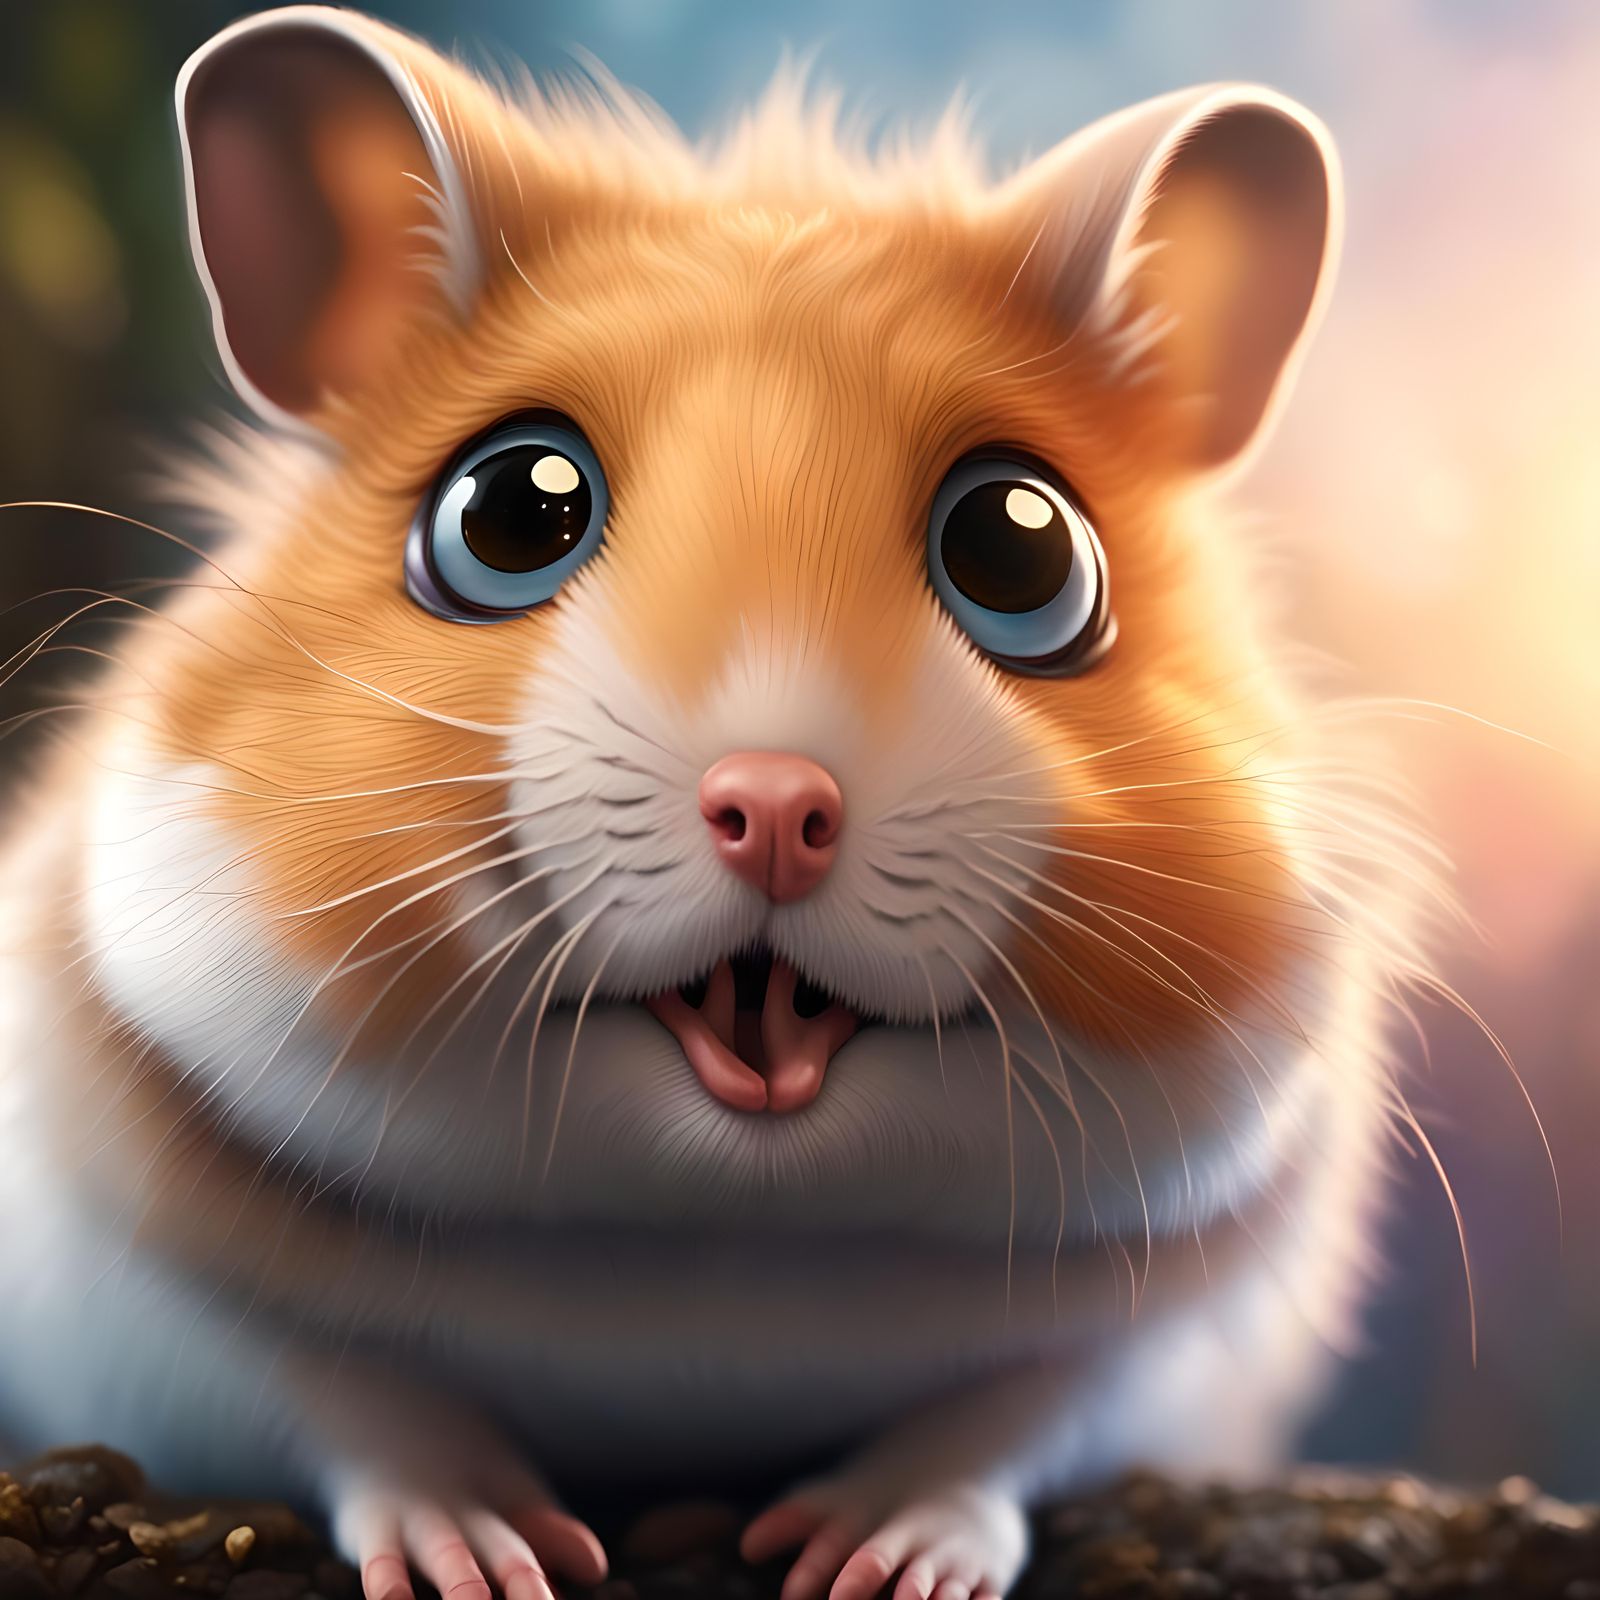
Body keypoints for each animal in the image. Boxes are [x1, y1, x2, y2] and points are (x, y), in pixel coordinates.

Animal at [0, 9, 1429, 1600]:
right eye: (505, 513)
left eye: (1025, 553)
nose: (776, 806)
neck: (716, 1236)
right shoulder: (124, 1263)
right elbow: (343, 1397)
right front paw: (492, 1554)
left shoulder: (1186, 1324)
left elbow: (1017, 1418)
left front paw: (870, 1555)